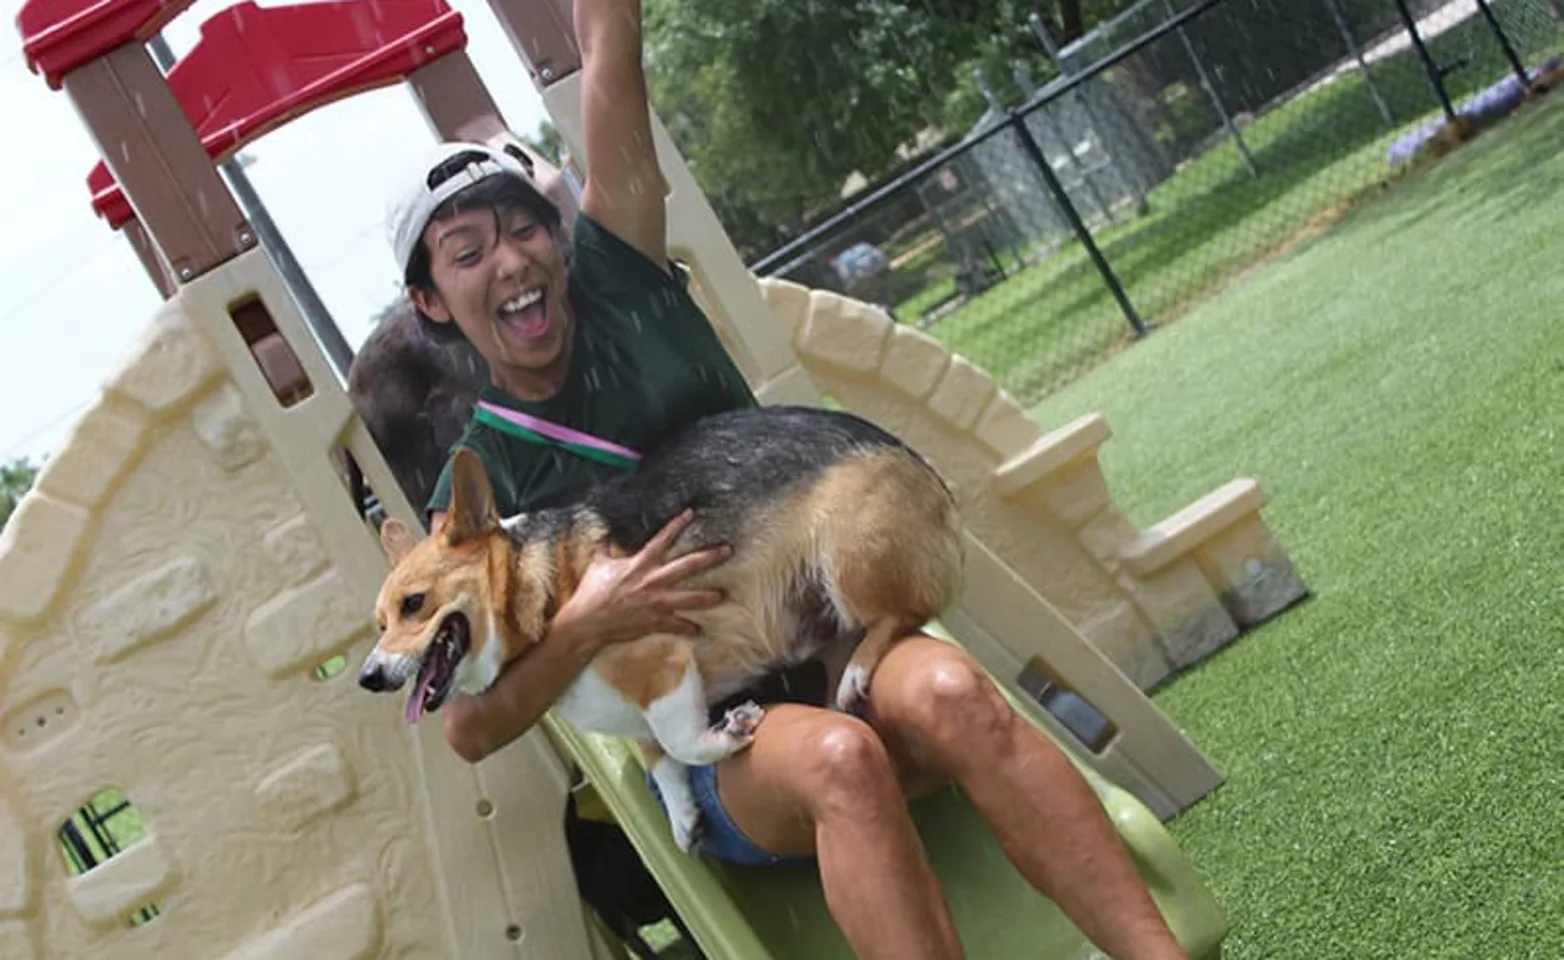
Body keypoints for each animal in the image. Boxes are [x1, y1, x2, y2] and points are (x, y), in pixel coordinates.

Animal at [358, 403, 963, 850]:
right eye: (379, 623)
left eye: (415, 604)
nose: (367, 676)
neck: (545, 593)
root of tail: (927, 470)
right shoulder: (640, 720)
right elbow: (661, 761)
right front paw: (683, 816)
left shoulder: (662, 662)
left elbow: (682, 742)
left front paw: (730, 731)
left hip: (847, 556)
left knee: (900, 613)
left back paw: (858, 668)